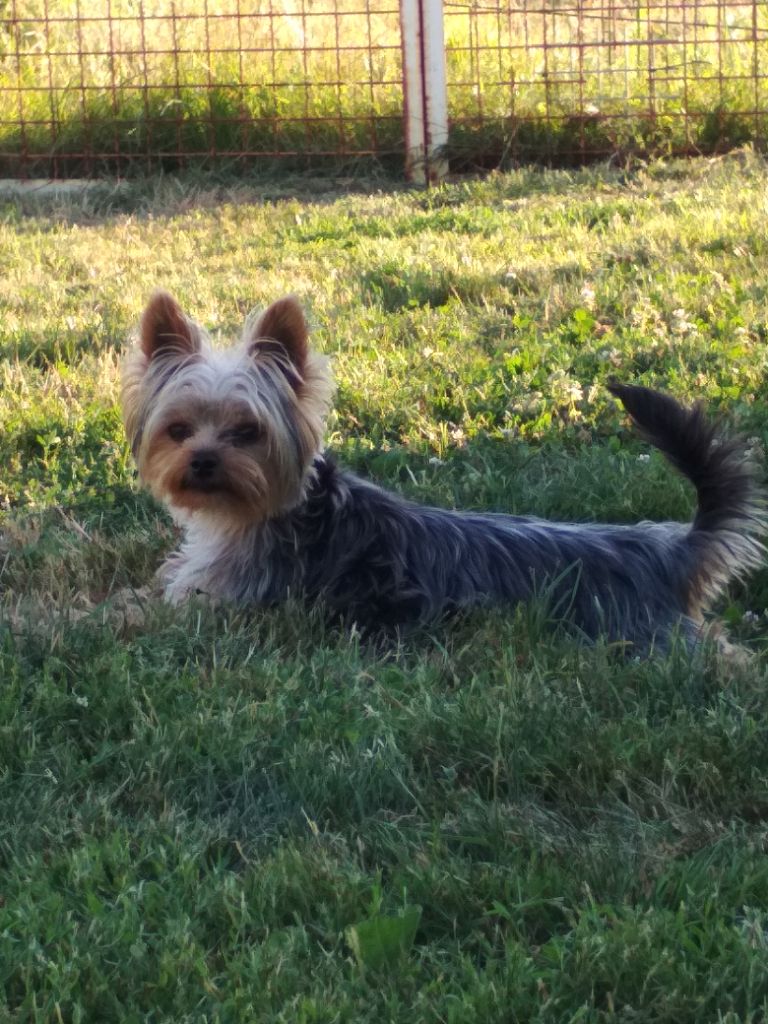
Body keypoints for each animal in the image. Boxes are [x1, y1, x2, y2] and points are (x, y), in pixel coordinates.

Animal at [123, 292, 765, 651]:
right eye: (178, 430)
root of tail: (664, 550)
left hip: (641, 640)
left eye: (248, 432)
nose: (202, 461)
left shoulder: (225, 604)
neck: (262, 511)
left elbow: (139, 615)